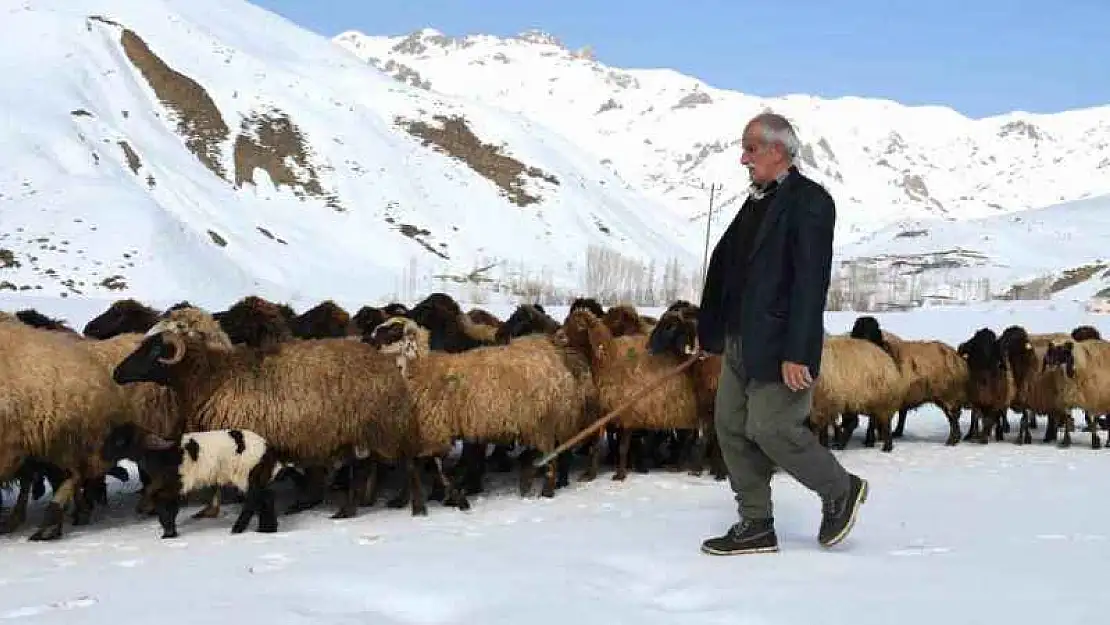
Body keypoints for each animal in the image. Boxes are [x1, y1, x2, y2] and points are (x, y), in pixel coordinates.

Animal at [101, 424, 286, 539]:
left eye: (119, 441)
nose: (103, 455)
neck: (160, 455)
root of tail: (268, 448)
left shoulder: (174, 484)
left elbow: (164, 507)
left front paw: (168, 534)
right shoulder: (172, 487)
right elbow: (168, 507)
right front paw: (170, 533)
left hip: (248, 473)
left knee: (255, 500)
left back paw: (239, 529)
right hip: (257, 476)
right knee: (265, 498)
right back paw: (266, 530)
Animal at [112, 315, 424, 521]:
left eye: (154, 350)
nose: (116, 373)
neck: (210, 376)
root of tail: (388, 365)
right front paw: (209, 510)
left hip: (381, 424)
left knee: (398, 463)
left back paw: (397, 506)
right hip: (360, 430)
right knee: (364, 467)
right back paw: (350, 508)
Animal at [368, 317, 599, 499]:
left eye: (392, 331)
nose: (368, 342)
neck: (422, 370)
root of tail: (556, 356)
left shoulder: (435, 429)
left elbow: (432, 467)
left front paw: (441, 496)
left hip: (544, 420)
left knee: (551, 458)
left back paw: (547, 492)